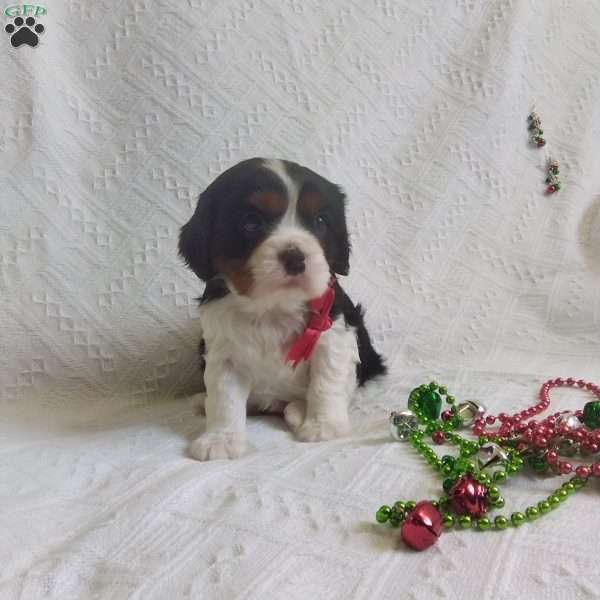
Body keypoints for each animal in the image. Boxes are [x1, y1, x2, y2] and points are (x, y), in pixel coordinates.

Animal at [179, 158, 384, 460]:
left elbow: (327, 380)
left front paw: (323, 425)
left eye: (320, 221)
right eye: (250, 223)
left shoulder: (333, 334)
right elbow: (224, 398)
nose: (296, 257)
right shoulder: (223, 352)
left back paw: (299, 409)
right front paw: (221, 439)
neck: (273, 307)